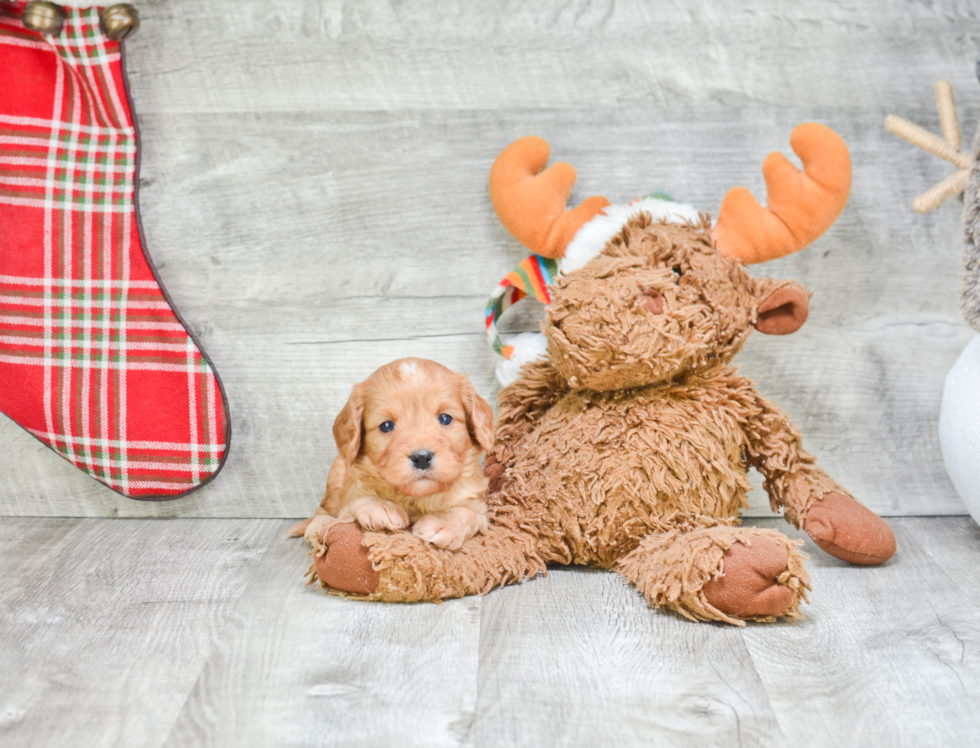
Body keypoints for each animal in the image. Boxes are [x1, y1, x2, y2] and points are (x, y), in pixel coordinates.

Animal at [288, 360, 494, 552]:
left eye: (445, 418)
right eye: (386, 425)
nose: (421, 457)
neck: (416, 497)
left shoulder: (479, 506)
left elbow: (469, 514)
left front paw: (444, 522)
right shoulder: (350, 489)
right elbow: (357, 499)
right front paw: (380, 507)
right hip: (336, 471)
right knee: (321, 511)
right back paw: (319, 526)